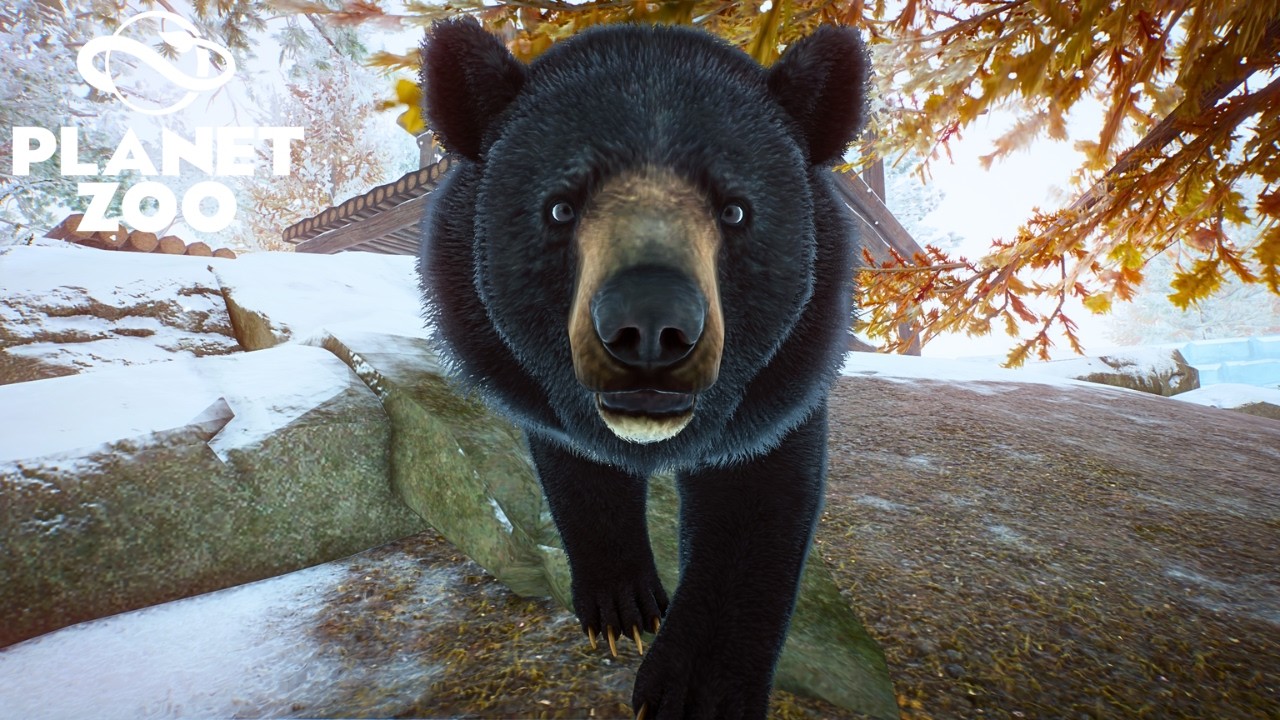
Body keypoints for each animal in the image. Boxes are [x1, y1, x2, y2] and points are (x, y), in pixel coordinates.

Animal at [418, 17, 868, 719]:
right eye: (560, 207)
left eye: (735, 209)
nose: (652, 329)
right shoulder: (532, 382)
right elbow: (580, 473)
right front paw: (623, 610)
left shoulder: (785, 376)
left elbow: (756, 511)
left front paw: (697, 686)